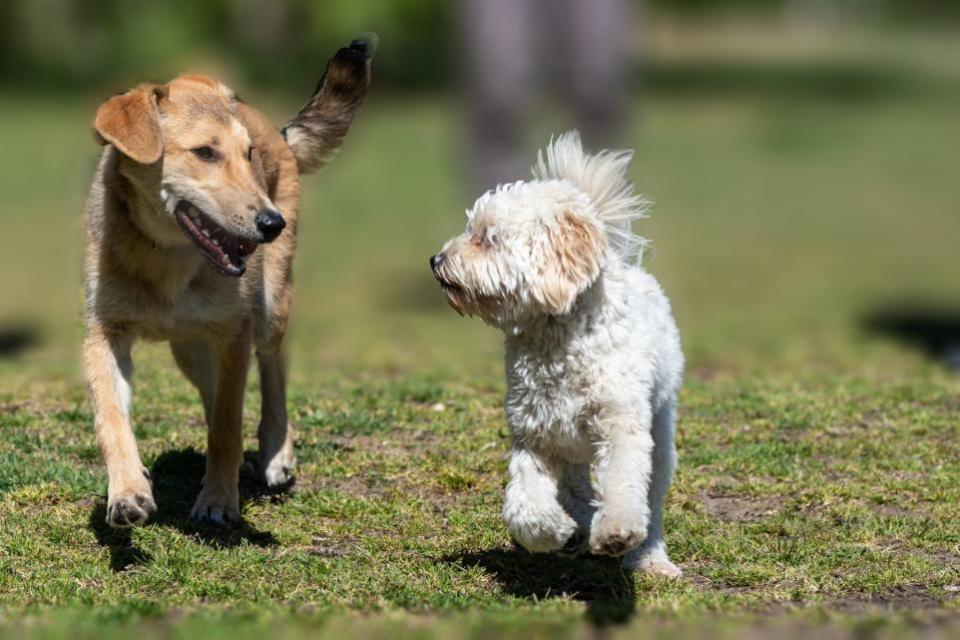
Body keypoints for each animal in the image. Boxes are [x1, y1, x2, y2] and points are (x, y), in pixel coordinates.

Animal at [85, 38, 376, 524]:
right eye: (205, 153)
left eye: (248, 155)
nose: (271, 223)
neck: (165, 257)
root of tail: (279, 132)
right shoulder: (106, 333)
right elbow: (112, 420)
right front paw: (127, 492)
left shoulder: (234, 333)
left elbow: (226, 426)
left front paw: (219, 500)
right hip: (191, 349)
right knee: (216, 391)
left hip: (271, 307)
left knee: (272, 367)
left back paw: (276, 453)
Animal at [428, 130, 684, 576]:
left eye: (487, 237)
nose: (436, 260)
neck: (557, 340)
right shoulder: (536, 437)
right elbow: (524, 509)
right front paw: (558, 532)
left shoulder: (621, 426)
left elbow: (623, 485)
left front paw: (616, 532)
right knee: (577, 486)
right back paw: (579, 526)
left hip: (660, 430)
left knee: (650, 498)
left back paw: (649, 556)